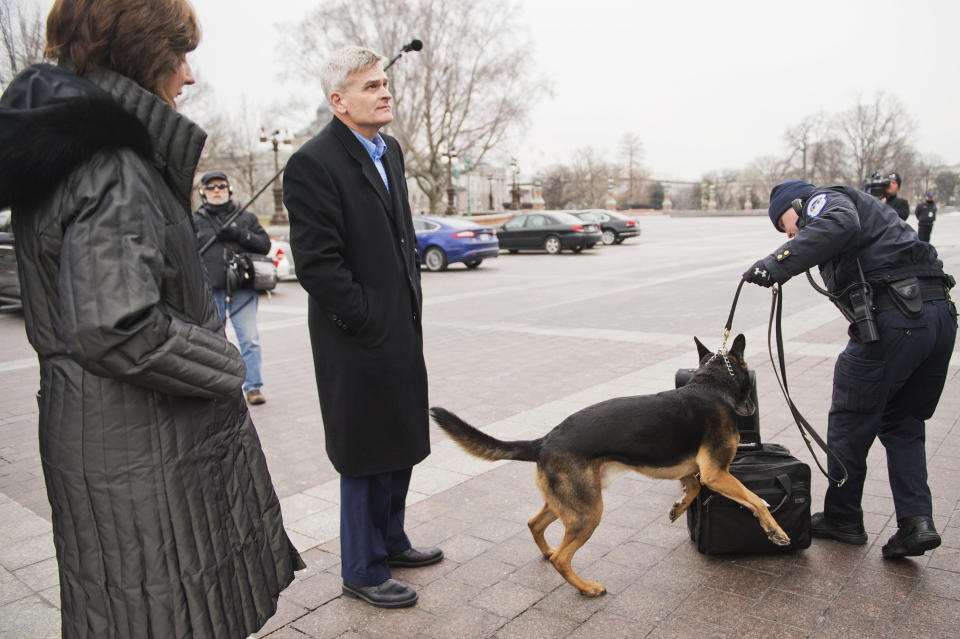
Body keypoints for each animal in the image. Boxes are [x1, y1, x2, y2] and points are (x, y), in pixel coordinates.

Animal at [432, 336, 792, 596]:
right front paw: (775, 531)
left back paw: (549, 552)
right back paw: (586, 587)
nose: (751, 408)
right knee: (563, 558)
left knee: (535, 524)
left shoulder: (697, 470)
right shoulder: (717, 473)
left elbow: (692, 485)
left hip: (571, 504)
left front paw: (678, 508)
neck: (711, 384)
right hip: (589, 512)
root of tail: (545, 440)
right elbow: (757, 500)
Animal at [744, 180, 952, 560]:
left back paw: (839, 523)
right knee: (903, 432)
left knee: (848, 425)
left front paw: (765, 268)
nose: (794, 232)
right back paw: (915, 535)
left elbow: (840, 222)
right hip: (921, 377)